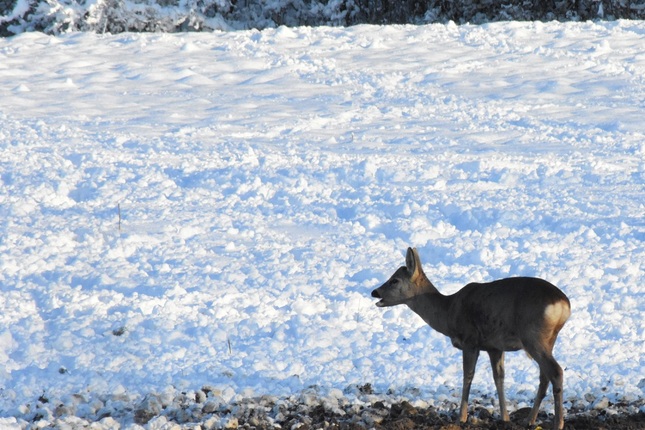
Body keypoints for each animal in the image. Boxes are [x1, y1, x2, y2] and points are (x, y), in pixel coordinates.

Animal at [372, 247, 568, 428]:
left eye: (394, 280)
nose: (375, 292)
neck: (448, 313)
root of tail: (563, 305)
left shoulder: (470, 340)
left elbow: (468, 375)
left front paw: (462, 417)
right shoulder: (494, 346)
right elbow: (499, 378)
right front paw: (505, 418)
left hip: (533, 336)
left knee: (556, 371)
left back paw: (558, 424)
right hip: (548, 339)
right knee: (544, 376)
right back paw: (529, 420)